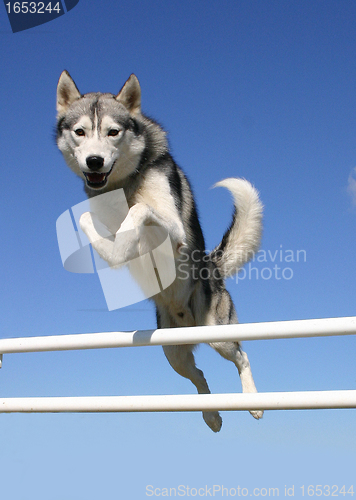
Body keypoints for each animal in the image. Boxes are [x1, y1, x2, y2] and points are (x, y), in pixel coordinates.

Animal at [56, 71, 264, 434]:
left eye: (113, 132)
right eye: (79, 132)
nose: (94, 161)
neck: (122, 183)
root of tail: (212, 266)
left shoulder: (173, 227)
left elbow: (139, 210)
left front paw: (124, 245)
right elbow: (86, 219)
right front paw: (116, 248)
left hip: (219, 334)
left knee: (242, 356)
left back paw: (252, 402)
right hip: (172, 351)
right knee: (199, 376)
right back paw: (211, 415)